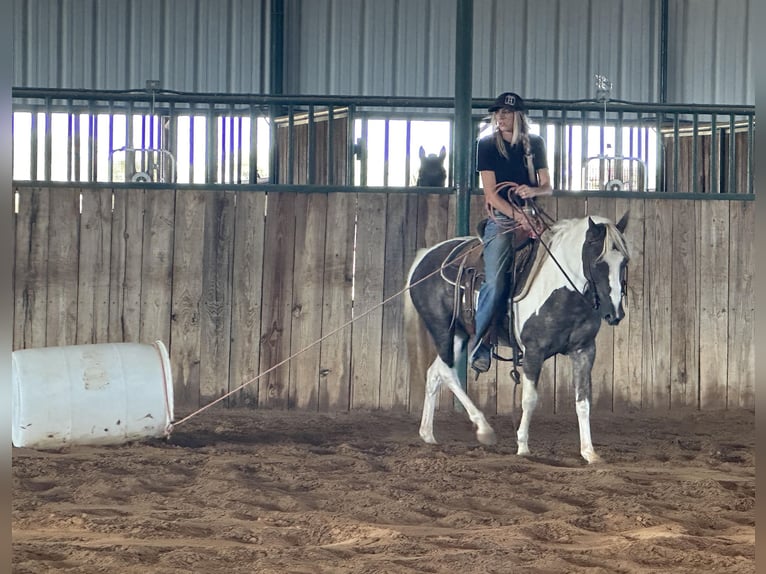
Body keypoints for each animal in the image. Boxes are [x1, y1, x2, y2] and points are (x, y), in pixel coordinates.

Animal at [404, 212, 632, 464]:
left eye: (624, 262)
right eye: (597, 262)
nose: (614, 313)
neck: (561, 289)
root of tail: (426, 256)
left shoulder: (584, 350)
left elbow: (583, 401)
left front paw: (589, 452)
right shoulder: (534, 350)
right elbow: (529, 399)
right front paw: (522, 446)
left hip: (459, 335)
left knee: (435, 373)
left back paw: (428, 434)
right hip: (443, 328)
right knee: (447, 371)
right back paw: (484, 429)